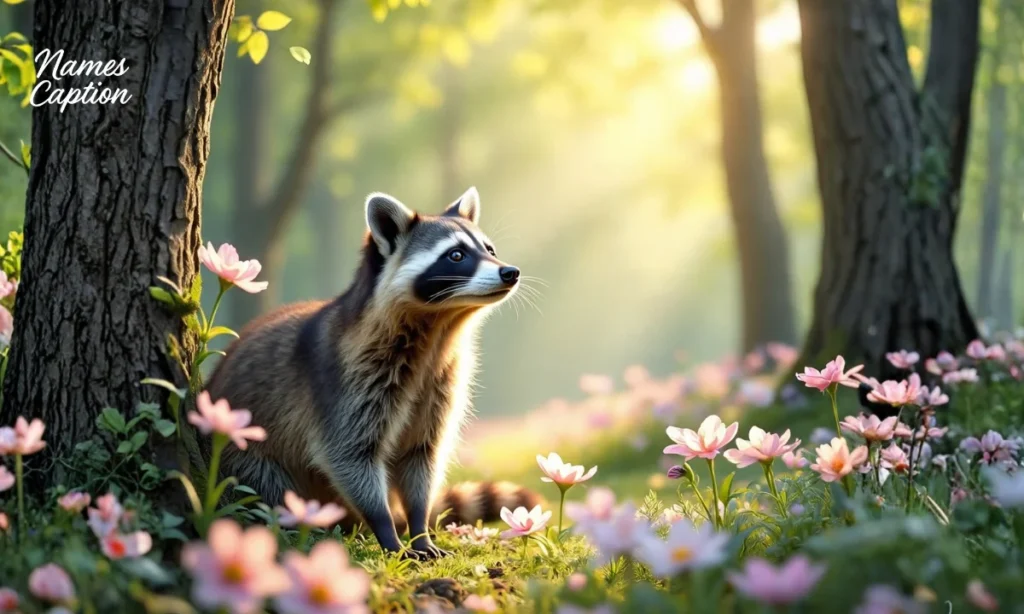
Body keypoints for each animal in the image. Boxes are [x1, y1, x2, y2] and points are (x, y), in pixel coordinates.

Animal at [205, 187, 539, 558]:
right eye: (456, 255)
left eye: (489, 250)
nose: (510, 272)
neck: (440, 329)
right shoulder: (345, 381)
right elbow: (349, 455)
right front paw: (387, 529)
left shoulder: (441, 381)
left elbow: (421, 455)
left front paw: (419, 526)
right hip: (242, 448)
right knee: (265, 484)